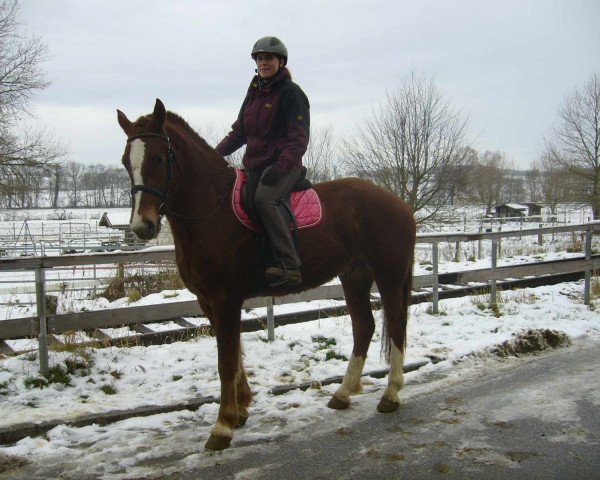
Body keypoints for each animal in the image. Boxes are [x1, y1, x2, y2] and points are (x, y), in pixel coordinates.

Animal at [118, 97, 418, 450]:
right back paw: (343, 393)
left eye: (159, 157)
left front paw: (222, 426)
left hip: (389, 275)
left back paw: (391, 394)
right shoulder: (209, 301)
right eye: (126, 162)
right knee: (364, 327)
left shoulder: (225, 299)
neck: (213, 210)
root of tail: (398, 203)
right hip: (354, 276)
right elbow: (234, 356)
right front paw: (241, 410)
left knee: (396, 326)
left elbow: (226, 360)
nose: (142, 226)